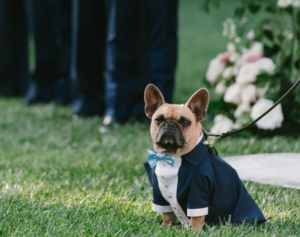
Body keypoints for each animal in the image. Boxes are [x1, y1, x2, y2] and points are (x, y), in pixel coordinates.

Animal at [144, 84, 264, 231]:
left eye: (185, 122)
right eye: (158, 120)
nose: (170, 124)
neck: (172, 156)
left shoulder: (198, 191)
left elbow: (196, 216)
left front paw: (194, 231)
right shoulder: (158, 192)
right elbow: (167, 214)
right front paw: (165, 227)